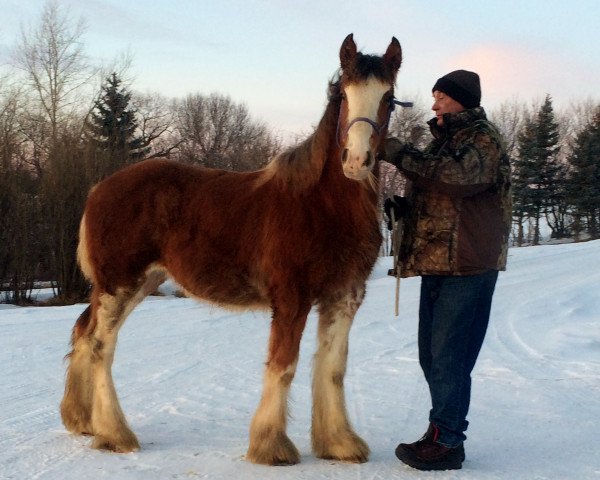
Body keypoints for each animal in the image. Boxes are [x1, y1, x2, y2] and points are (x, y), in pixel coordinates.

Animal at [61, 34, 404, 464]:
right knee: (99, 347)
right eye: (344, 93)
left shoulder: (344, 296)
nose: (356, 160)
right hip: (119, 285)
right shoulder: (291, 298)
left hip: (139, 284)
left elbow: (332, 368)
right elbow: (283, 365)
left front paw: (339, 443)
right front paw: (271, 447)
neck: (320, 205)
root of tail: (99, 189)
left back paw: (83, 421)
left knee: (84, 332)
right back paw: (116, 434)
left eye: (388, 97)